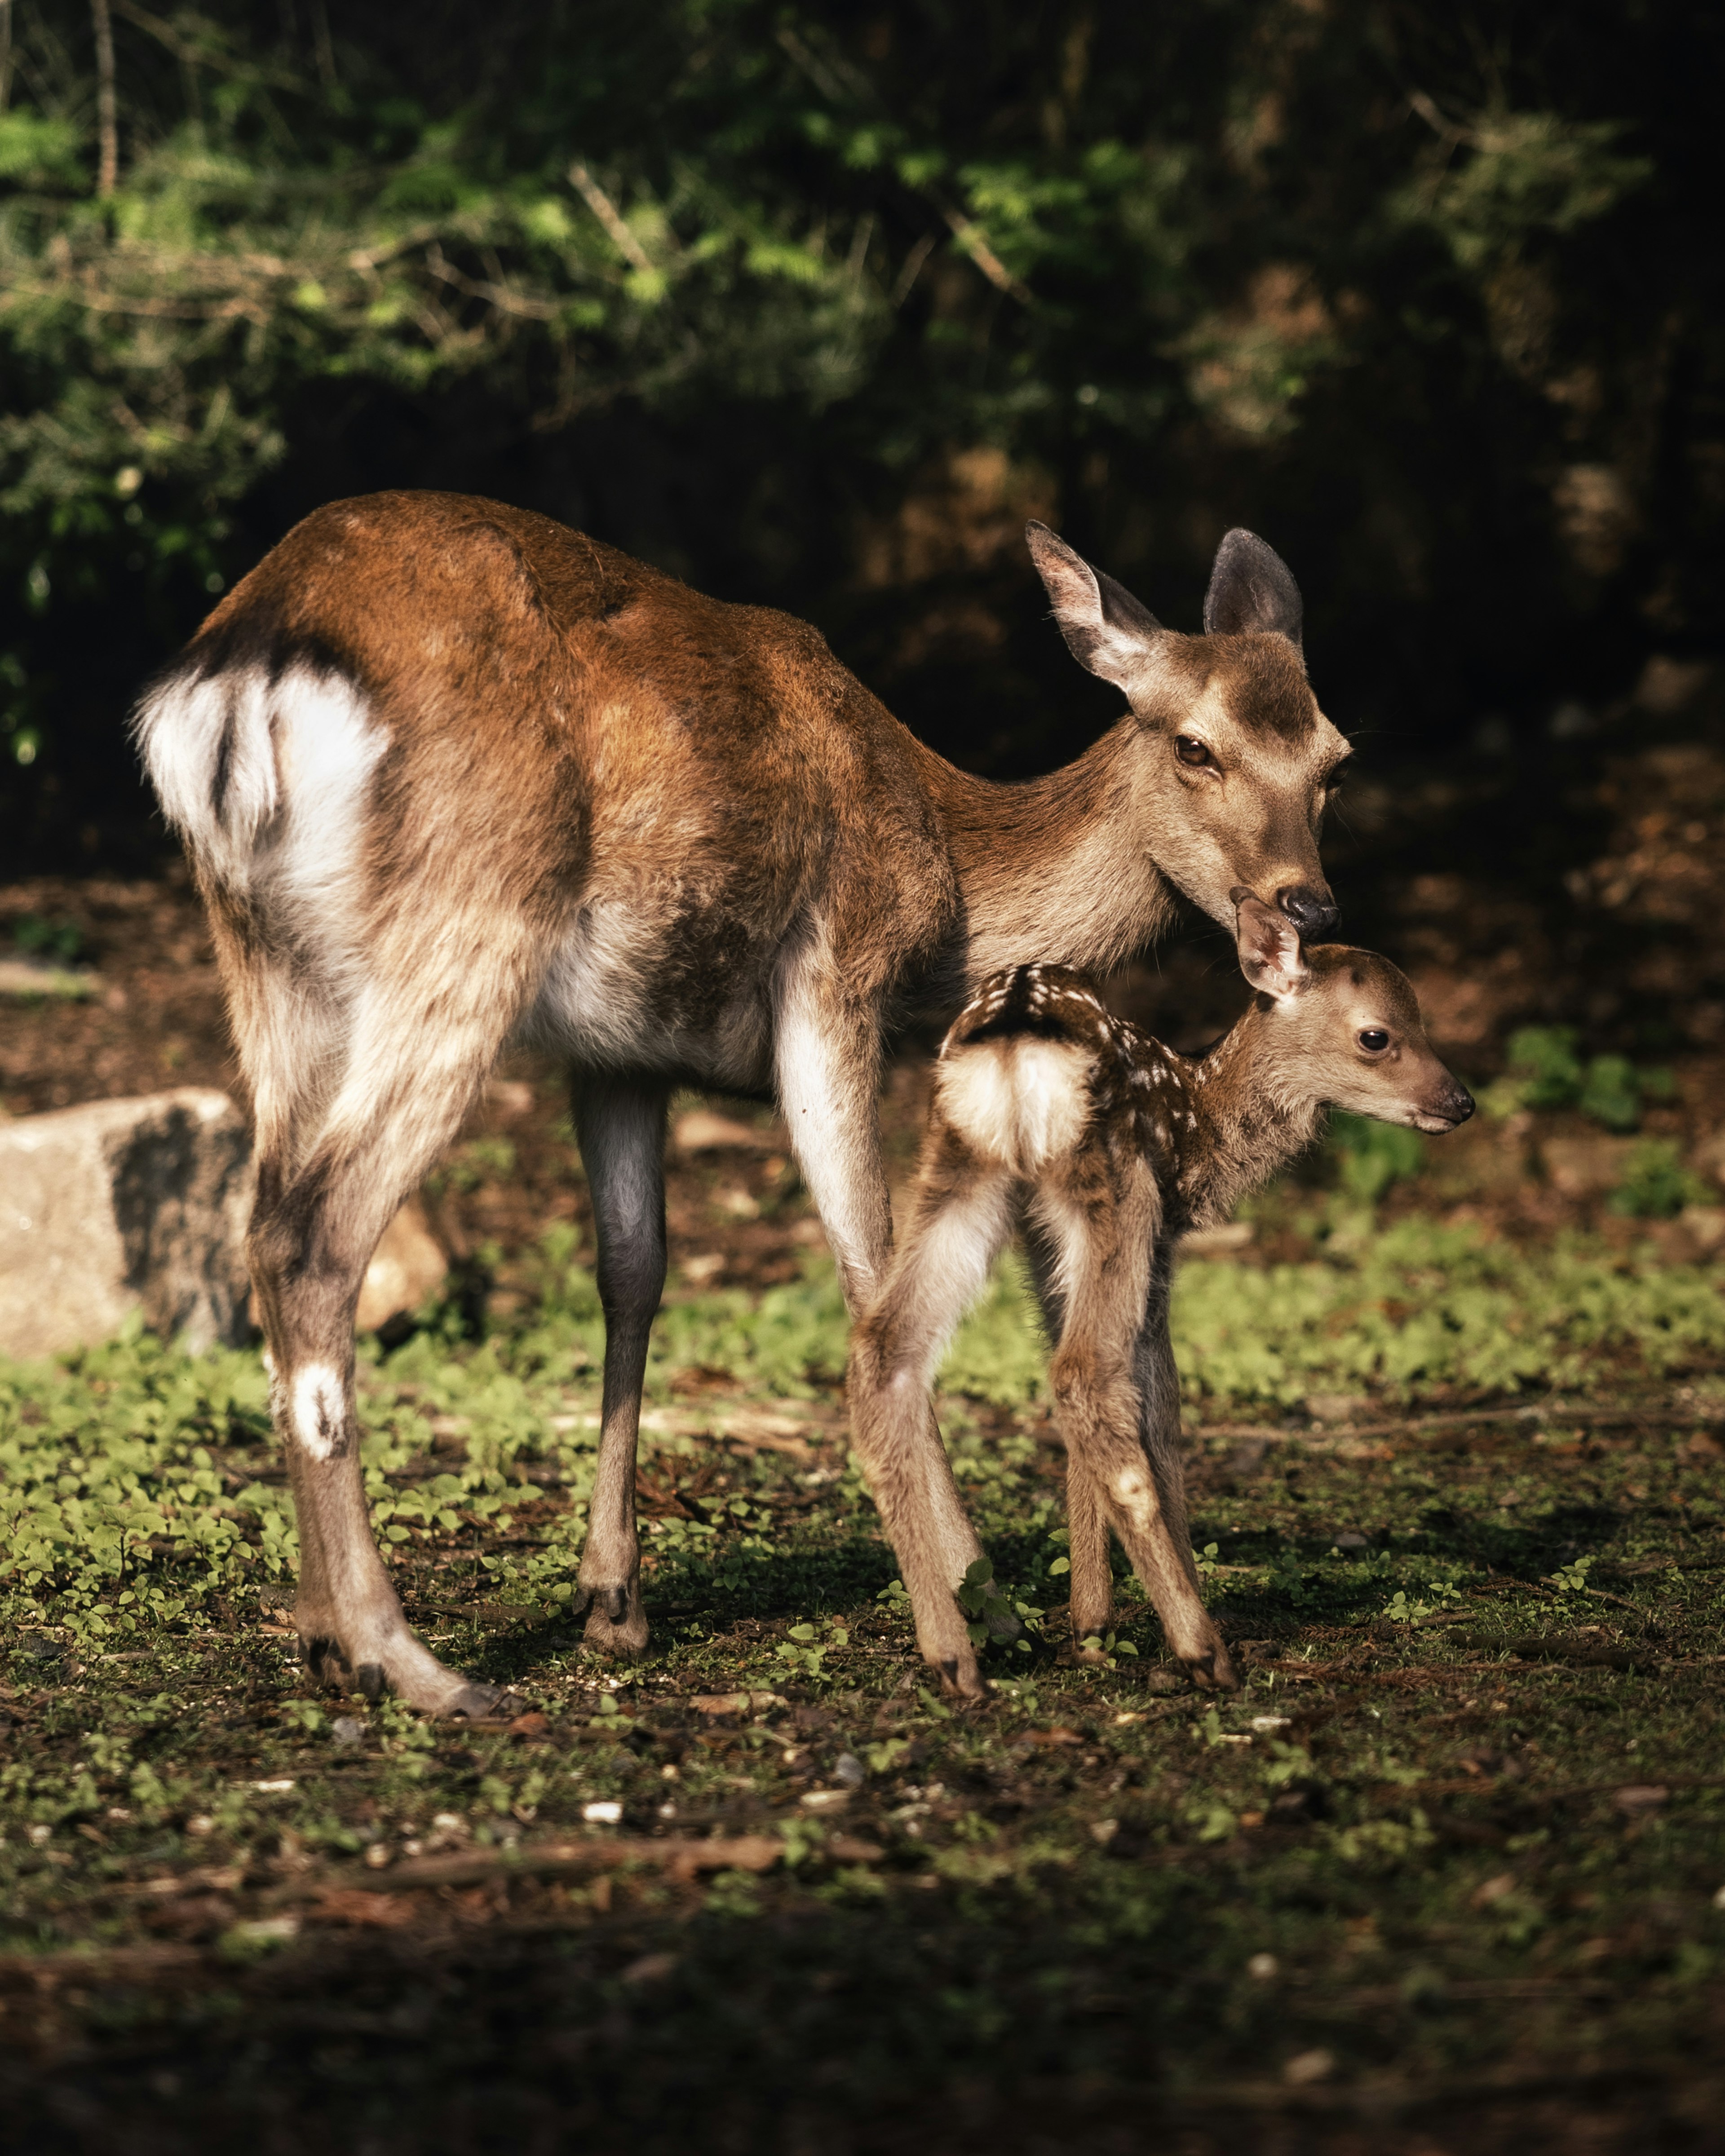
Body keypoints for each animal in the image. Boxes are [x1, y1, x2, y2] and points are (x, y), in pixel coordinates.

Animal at [135, 494, 1345, 1716]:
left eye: (1334, 758)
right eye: (1194, 744)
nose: (1308, 904)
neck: (947, 873)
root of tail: (238, 684)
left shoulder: (617, 1054)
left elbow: (633, 1272)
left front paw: (612, 1599)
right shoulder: (836, 971)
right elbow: (869, 1266)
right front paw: (980, 1609)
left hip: (268, 961)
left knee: (263, 1216)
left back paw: (317, 1632)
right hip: (468, 912)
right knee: (314, 1232)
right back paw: (408, 1656)